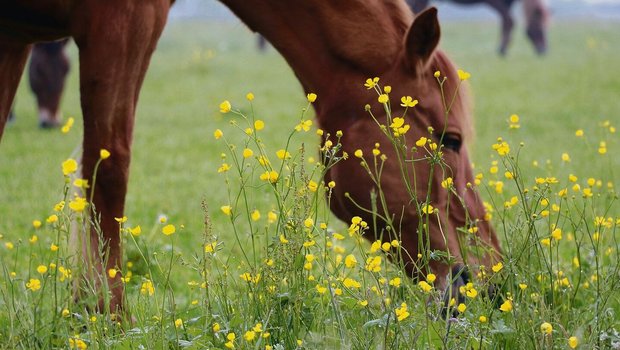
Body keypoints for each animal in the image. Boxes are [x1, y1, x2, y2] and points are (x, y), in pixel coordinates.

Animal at [0, 0, 502, 312]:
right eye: (451, 139)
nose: (491, 281)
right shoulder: (124, 23)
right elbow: (109, 169)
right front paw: (107, 318)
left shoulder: (14, 37)